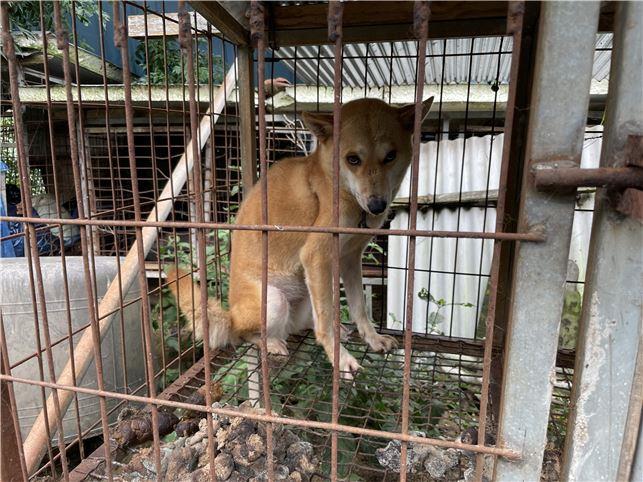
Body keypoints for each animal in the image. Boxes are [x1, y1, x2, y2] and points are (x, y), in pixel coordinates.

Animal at [169, 96, 436, 378]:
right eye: (352, 159)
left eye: (390, 156)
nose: (377, 206)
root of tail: (231, 315)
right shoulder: (316, 255)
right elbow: (326, 322)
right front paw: (340, 358)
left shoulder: (350, 258)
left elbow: (358, 308)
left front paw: (372, 339)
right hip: (275, 300)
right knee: (244, 334)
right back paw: (271, 342)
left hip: (311, 290)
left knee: (308, 322)